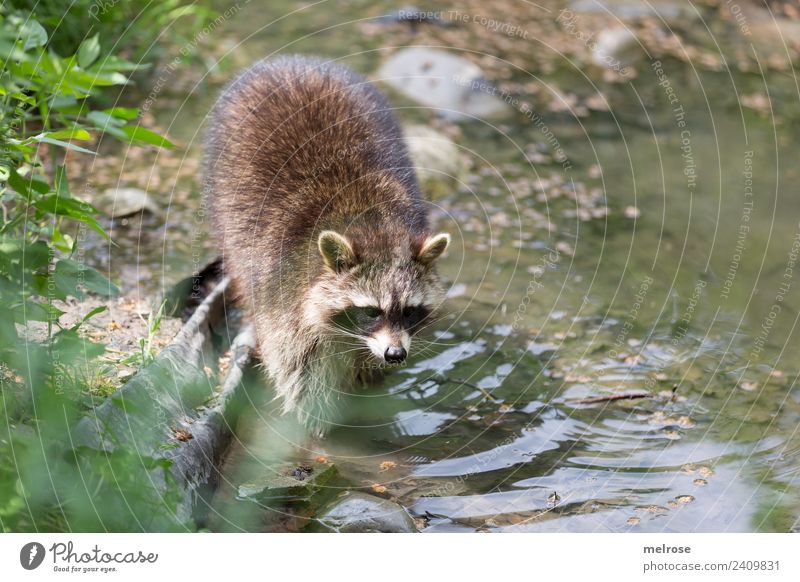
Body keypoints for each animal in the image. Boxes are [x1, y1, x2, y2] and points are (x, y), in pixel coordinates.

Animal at [203, 56, 450, 428]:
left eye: (409, 311)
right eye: (370, 311)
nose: (395, 354)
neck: (372, 225)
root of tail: (291, 62)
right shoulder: (285, 294)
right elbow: (299, 371)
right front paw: (317, 423)